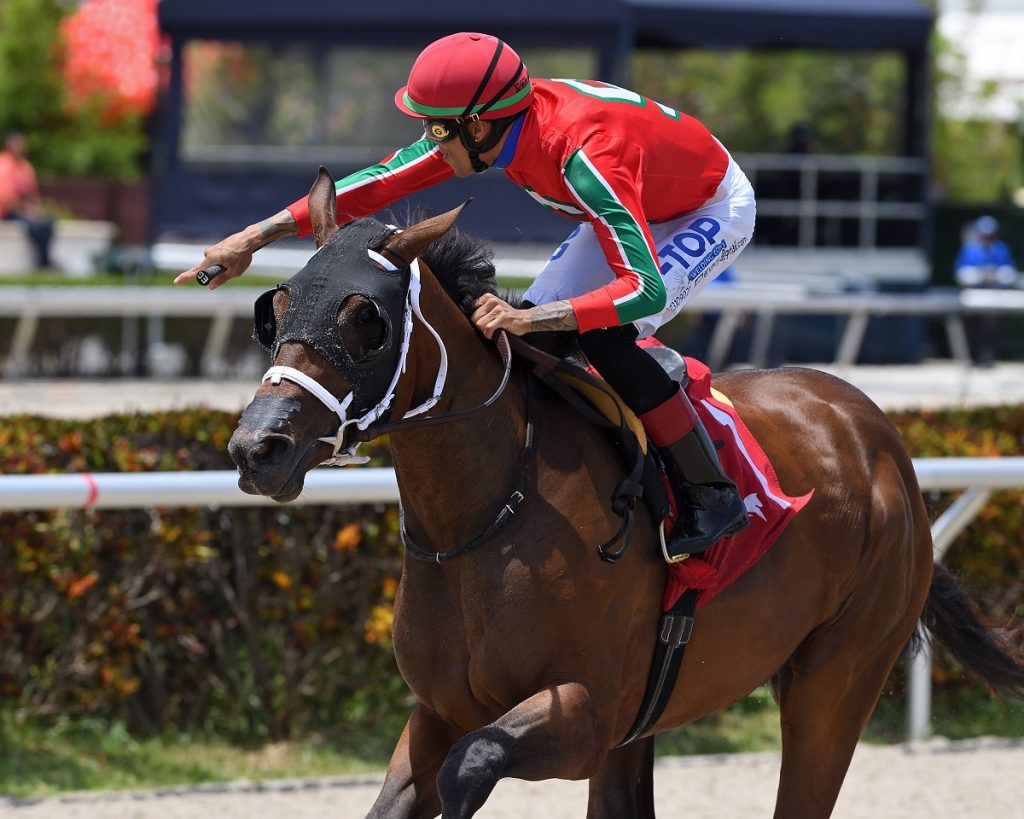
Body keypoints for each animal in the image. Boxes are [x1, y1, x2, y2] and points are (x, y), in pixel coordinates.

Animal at [228, 169, 1019, 814]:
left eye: (366, 319)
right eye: (279, 307)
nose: (258, 446)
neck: (484, 513)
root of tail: (880, 436)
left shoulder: (586, 712)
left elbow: (471, 764)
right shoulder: (441, 709)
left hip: (838, 678)